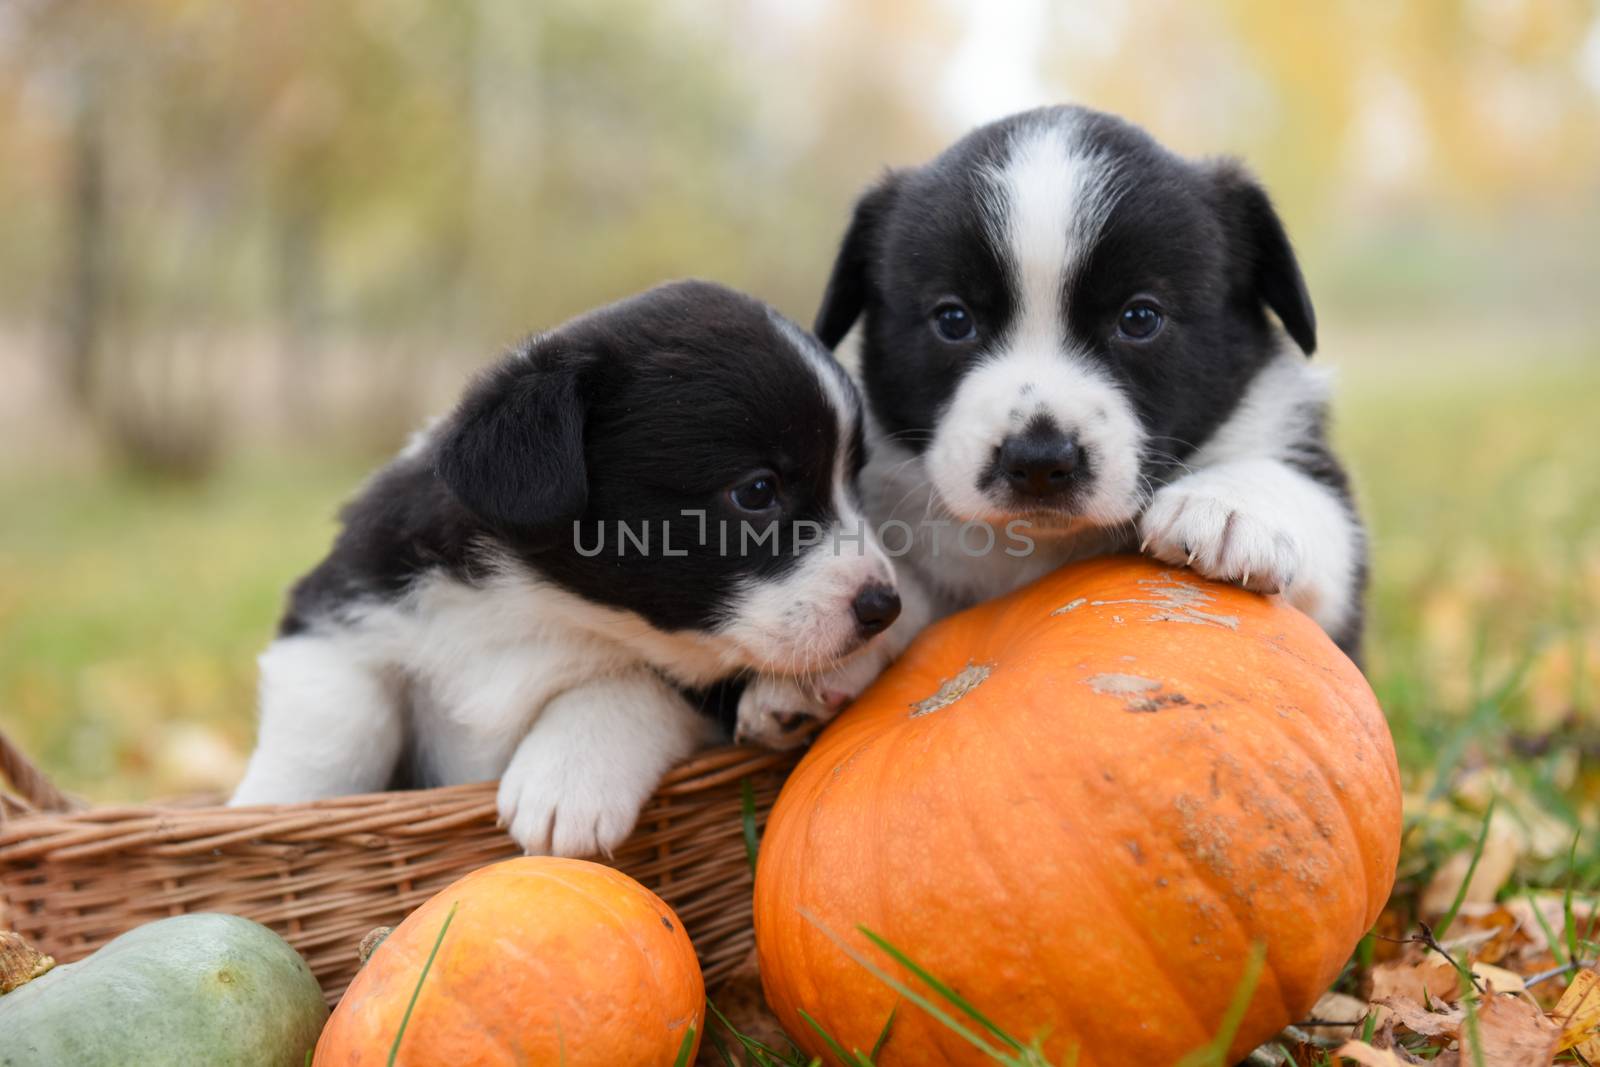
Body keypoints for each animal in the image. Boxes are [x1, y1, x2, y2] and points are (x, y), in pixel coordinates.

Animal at [232, 279, 902, 857]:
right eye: (758, 491)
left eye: (854, 483)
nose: (884, 607)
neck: (544, 604)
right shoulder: (343, 602)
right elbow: (334, 725)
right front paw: (269, 809)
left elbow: (634, 680)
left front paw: (567, 779)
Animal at [761, 106, 1363, 716]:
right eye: (953, 320)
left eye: (1140, 318)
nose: (1039, 462)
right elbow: (903, 588)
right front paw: (817, 655)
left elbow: (1308, 506)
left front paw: (1226, 506)